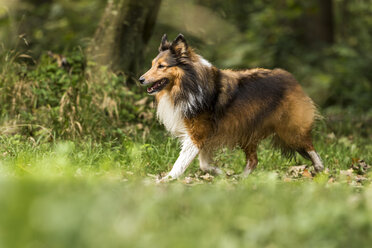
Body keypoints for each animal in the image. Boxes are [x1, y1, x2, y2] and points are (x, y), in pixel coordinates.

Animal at [139, 34, 322, 181]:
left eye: (161, 66)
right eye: (152, 64)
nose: (141, 79)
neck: (187, 84)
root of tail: (291, 78)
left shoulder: (197, 135)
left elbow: (180, 163)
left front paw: (166, 180)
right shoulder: (205, 137)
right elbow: (204, 164)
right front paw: (220, 173)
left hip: (289, 128)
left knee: (309, 146)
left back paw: (321, 168)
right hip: (247, 130)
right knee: (253, 160)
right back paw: (241, 178)